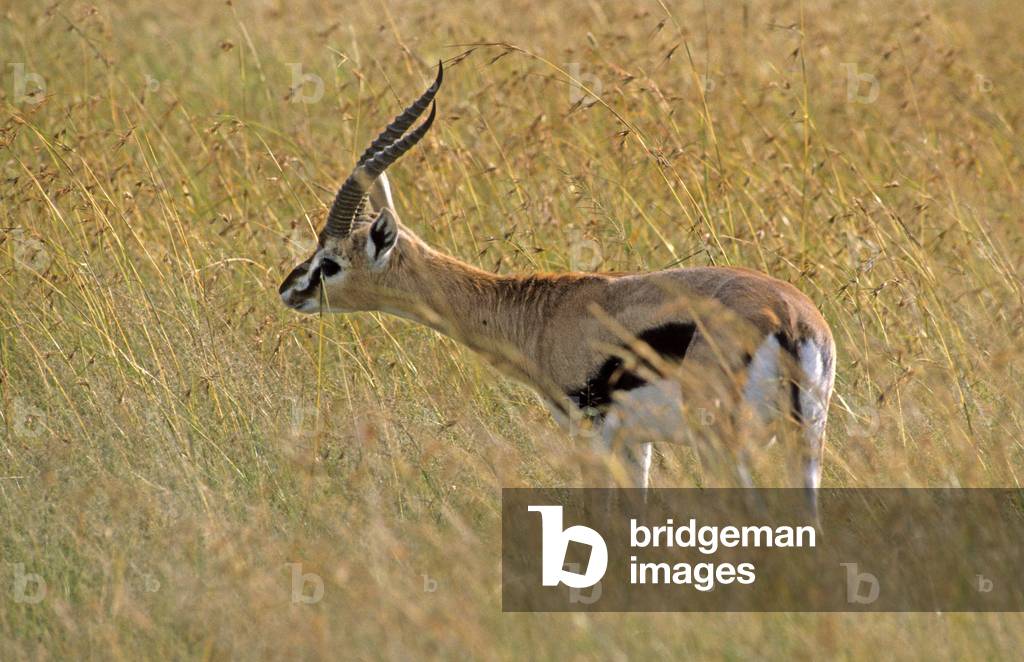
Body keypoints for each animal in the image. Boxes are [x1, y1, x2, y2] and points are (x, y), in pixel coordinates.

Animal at [279, 63, 836, 516]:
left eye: (330, 263)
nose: (289, 289)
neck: (543, 314)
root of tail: (788, 318)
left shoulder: (591, 430)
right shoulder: (635, 443)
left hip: (723, 440)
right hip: (805, 440)